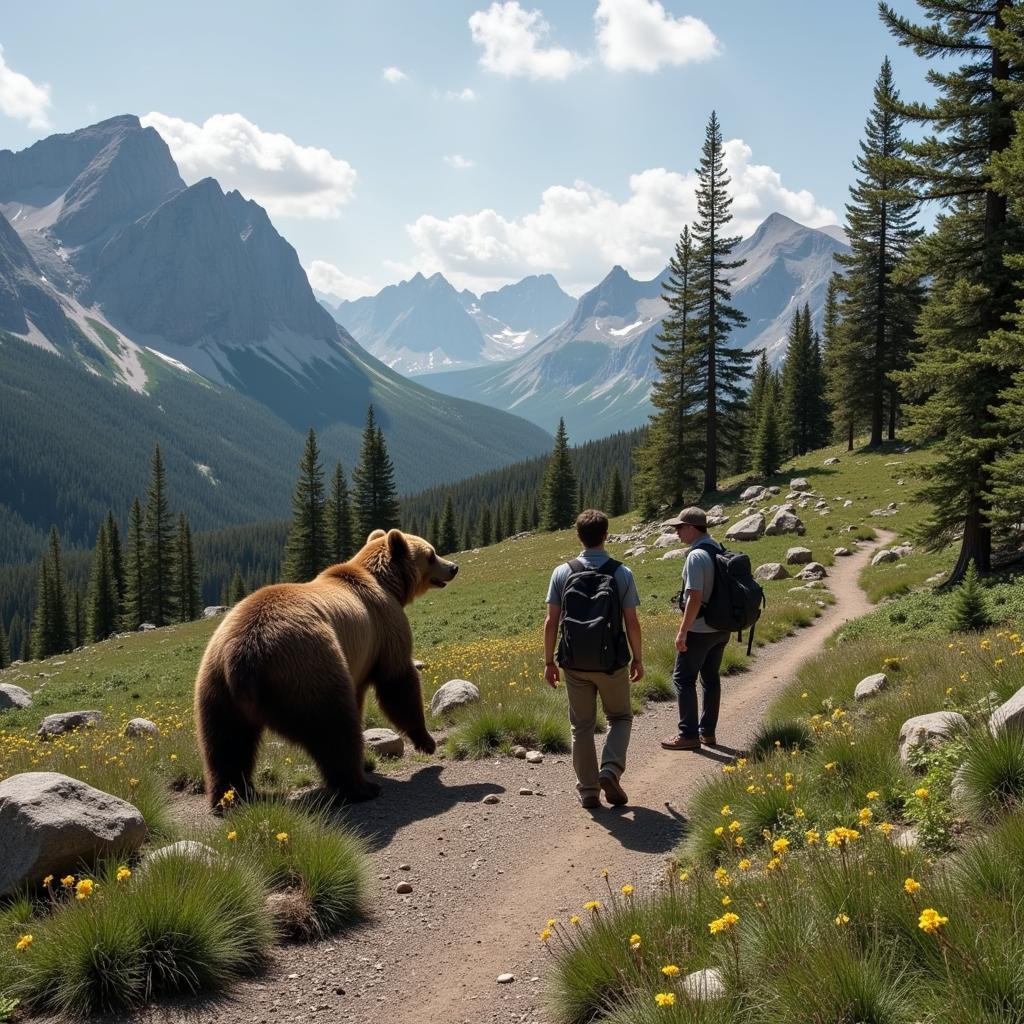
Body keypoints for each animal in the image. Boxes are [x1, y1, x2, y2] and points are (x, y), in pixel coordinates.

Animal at [193, 532, 458, 811]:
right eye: (431, 554)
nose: (453, 567)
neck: (387, 584)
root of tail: (244, 660)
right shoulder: (385, 626)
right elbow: (397, 681)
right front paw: (426, 742)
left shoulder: (359, 657)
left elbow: (362, 695)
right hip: (308, 667)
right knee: (333, 728)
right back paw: (361, 787)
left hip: (215, 686)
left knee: (226, 744)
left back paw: (233, 796)